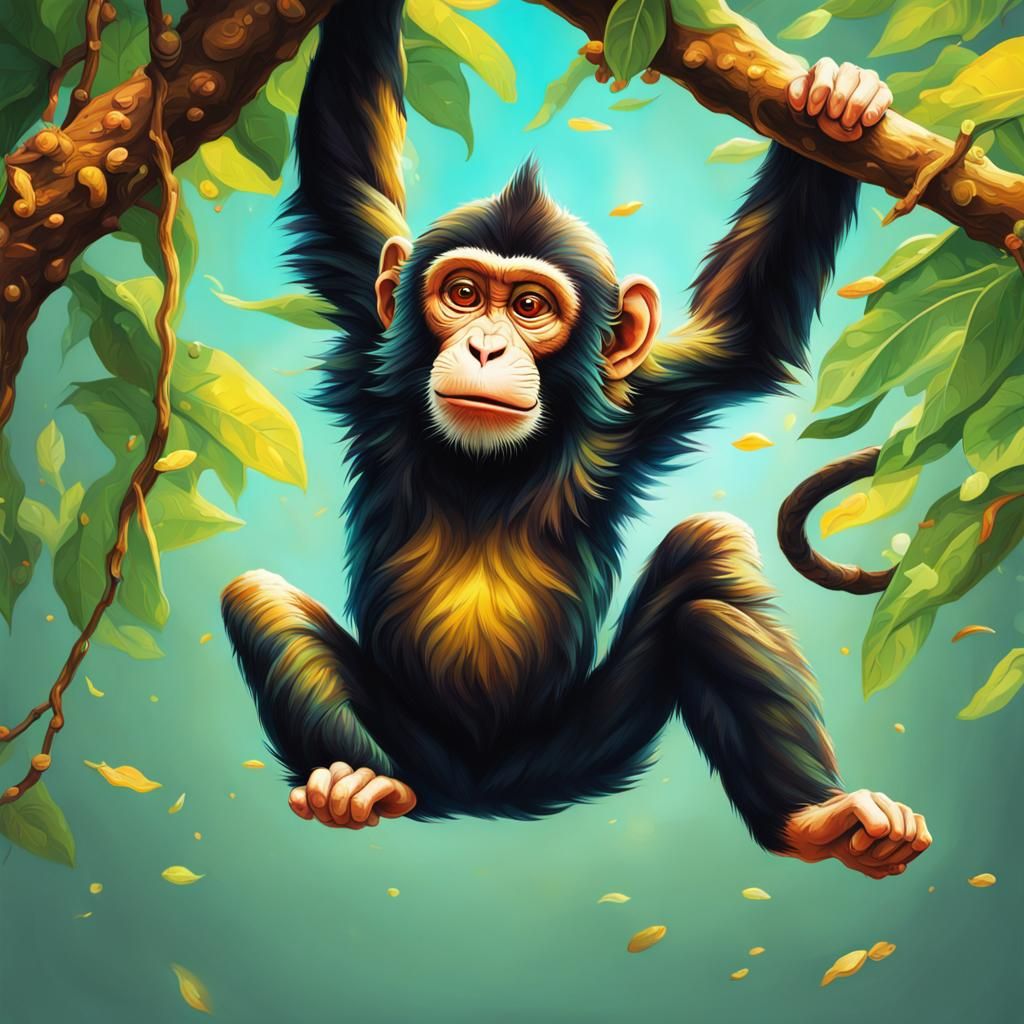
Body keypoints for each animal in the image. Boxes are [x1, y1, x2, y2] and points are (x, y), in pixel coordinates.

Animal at [222, 1, 931, 879]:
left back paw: (817, 820)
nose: (487, 347)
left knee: (712, 555)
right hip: (415, 752)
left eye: (529, 306)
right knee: (257, 600)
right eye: (463, 293)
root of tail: (480, 795)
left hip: (581, 745)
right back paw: (350, 784)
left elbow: (746, 326)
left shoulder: (643, 401)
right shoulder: (368, 327)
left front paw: (835, 102)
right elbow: (343, 175)